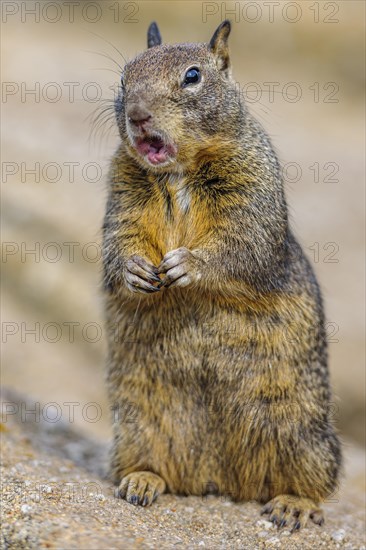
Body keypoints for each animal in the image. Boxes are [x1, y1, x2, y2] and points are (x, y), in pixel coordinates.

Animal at [101, 19, 344, 532]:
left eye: (193, 76)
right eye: (123, 78)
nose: (137, 115)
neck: (177, 173)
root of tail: (222, 482)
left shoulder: (253, 189)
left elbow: (242, 245)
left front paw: (186, 264)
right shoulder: (121, 190)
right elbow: (118, 240)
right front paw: (135, 270)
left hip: (304, 432)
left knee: (313, 483)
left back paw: (294, 505)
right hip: (136, 422)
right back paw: (142, 481)